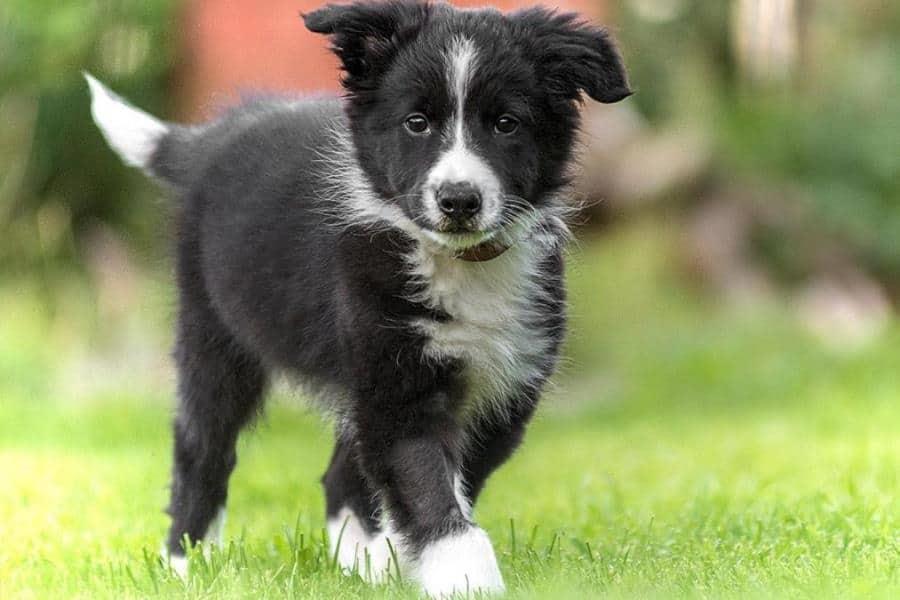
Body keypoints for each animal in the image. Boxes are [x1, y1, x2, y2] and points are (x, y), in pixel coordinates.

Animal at [88, 1, 628, 596]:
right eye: (417, 123)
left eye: (506, 123)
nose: (458, 200)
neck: (458, 262)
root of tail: (213, 138)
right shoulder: (397, 385)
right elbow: (428, 484)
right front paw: (466, 577)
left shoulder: (502, 389)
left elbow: (444, 481)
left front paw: (407, 562)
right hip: (214, 333)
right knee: (202, 449)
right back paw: (186, 563)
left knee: (339, 476)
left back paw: (362, 565)